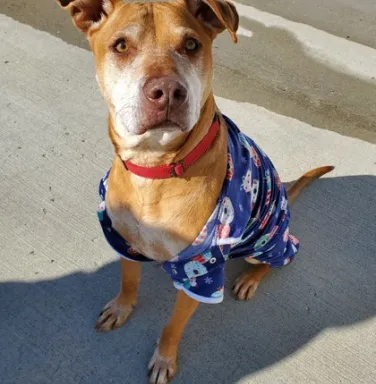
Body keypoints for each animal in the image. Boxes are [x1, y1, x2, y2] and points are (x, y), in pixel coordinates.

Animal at [58, 1, 332, 382]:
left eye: (191, 44)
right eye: (121, 46)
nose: (167, 92)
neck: (156, 166)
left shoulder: (201, 275)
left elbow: (173, 326)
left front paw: (164, 359)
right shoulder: (123, 240)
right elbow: (128, 281)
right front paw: (122, 307)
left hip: (266, 242)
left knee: (281, 256)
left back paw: (251, 278)